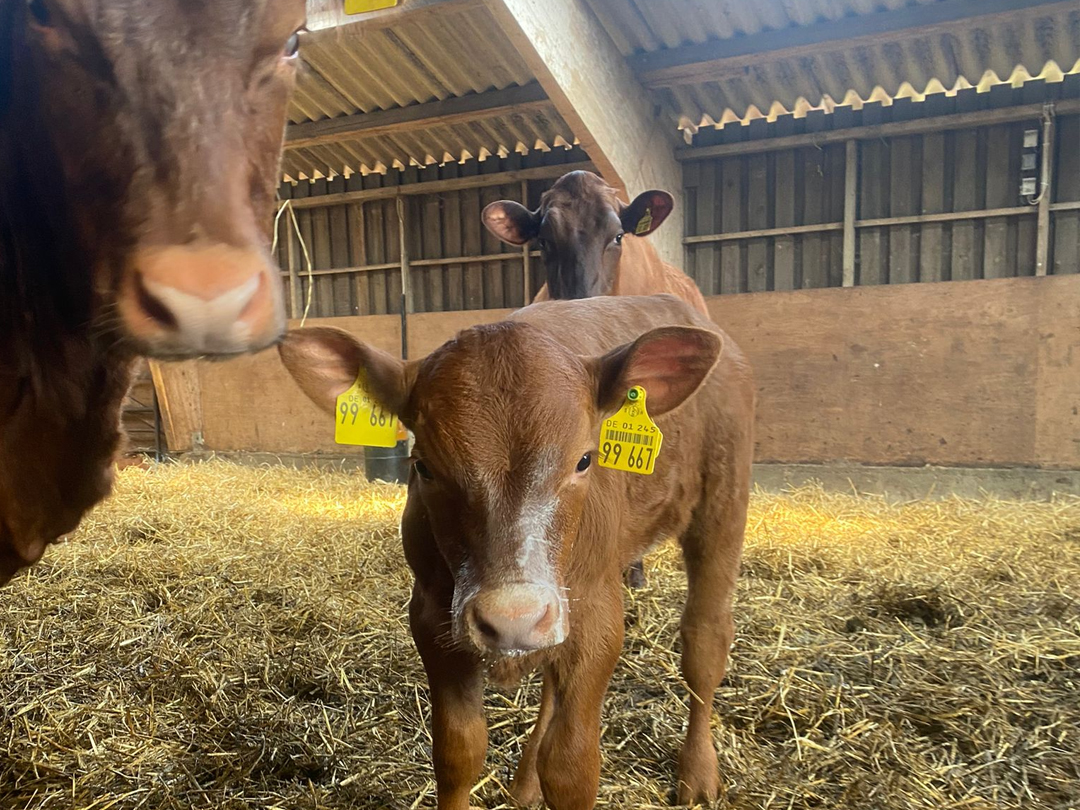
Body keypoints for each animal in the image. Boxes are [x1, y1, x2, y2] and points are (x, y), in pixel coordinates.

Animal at [279, 294, 755, 808]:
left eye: (584, 460)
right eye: (422, 466)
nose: (514, 618)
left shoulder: (598, 615)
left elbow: (572, 768)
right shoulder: (431, 616)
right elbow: (457, 752)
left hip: (722, 502)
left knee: (705, 639)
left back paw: (698, 774)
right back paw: (526, 784)